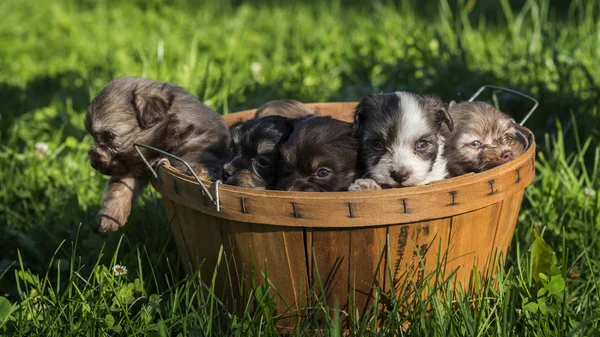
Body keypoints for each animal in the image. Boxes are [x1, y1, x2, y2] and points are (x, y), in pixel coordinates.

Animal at [85, 77, 231, 232]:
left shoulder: (197, 149)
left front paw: (201, 176)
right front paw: (109, 217)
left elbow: (194, 163)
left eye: (110, 136)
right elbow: (119, 187)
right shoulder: (134, 165)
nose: (93, 163)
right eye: (94, 136)